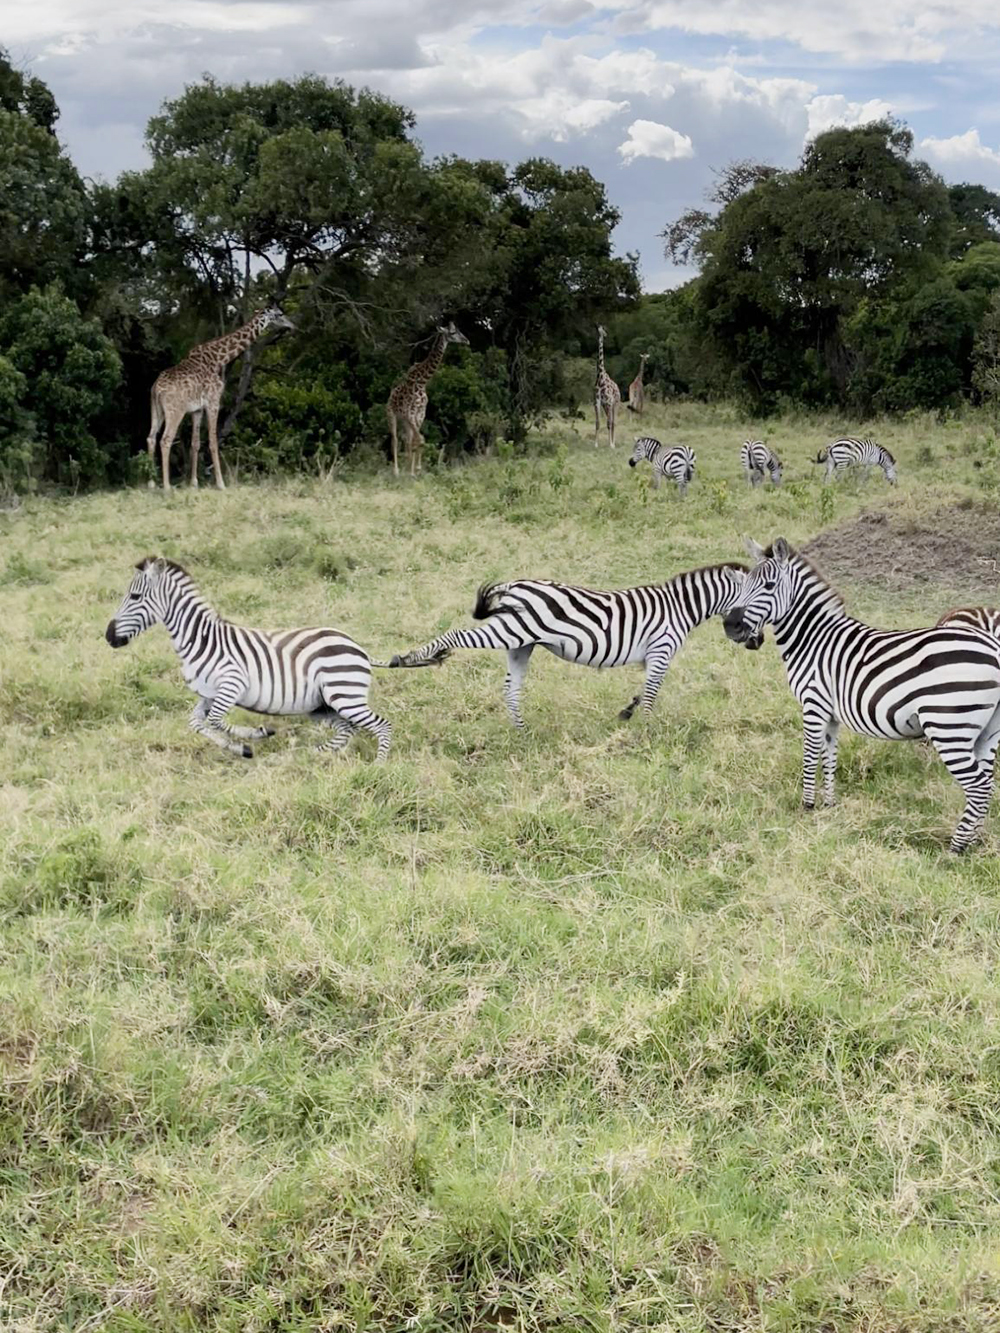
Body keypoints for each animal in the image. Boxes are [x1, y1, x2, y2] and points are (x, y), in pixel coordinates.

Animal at [106, 551, 434, 762]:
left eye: (134, 597)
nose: (109, 637)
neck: (201, 639)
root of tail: (358, 647)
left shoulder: (231, 685)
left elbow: (216, 720)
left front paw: (258, 734)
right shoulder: (207, 694)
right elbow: (197, 723)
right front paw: (241, 749)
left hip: (344, 696)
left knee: (381, 725)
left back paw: (378, 766)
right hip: (323, 707)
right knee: (347, 731)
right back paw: (307, 757)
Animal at [146, 305, 293, 493]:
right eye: (279, 314)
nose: (291, 325)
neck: (218, 358)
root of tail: (157, 388)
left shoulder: (197, 409)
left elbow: (195, 443)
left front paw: (193, 483)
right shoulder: (213, 401)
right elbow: (213, 441)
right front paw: (221, 483)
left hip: (157, 409)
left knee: (151, 437)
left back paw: (151, 484)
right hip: (175, 411)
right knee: (165, 440)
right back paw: (166, 487)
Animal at [386, 562, 757, 730]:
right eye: (760, 595)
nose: (756, 642)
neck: (681, 607)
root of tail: (513, 585)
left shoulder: (654, 657)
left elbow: (642, 691)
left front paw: (627, 715)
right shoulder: (661, 650)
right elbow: (652, 693)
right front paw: (647, 731)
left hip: (521, 643)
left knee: (511, 690)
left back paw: (522, 733)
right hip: (509, 631)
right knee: (456, 635)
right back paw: (412, 658)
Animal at [389, 319, 472, 477]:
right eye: (453, 332)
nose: (467, 340)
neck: (422, 382)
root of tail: (391, 394)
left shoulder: (420, 414)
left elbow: (418, 440)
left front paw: (414, 471)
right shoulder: (410, 413)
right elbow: (420, 439)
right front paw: (415, 469)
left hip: (406, 421)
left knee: (408, 440)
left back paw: (406, 468)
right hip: (392, 415)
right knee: (395, 439)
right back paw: (396, 471)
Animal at [725, 533, 1000, 853]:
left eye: (768, 586)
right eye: (743, 584)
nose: (730, 626)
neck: (813, 638)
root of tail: (993, 647)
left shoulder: (813, 703)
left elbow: (809, 755)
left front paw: (807, 807)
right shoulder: (830, 713)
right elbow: (829, 756)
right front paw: (829, 805)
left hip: (949, 726)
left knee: (978, 785)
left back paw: (956, 849)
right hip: (987, 731)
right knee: (987, 783)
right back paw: (976, 840)